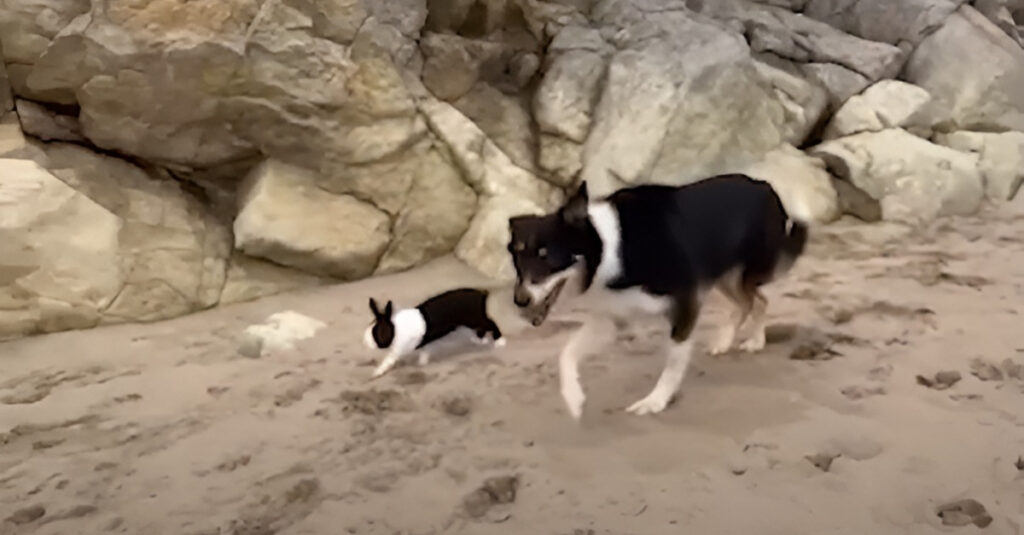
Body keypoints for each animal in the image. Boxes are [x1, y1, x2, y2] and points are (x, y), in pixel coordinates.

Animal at [364, 284, 507, 377]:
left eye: (376, 332)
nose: (365, 341)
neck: (394, 328)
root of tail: (482, 294)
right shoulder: (424, 341)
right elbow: (425, 350)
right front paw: (423, 362)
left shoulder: (398, 350)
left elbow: (388, 359)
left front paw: (376, 373)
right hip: (475, 320)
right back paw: (479, 340)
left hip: (474, 319)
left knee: (491, 323)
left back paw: (500, 341)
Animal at [507, 173, 802, 418]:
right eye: (518, 258)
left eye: (546, 255)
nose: (520, 300)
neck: (611, 248)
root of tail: (764, 185)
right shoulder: (614, 317)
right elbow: (566, 353)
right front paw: (573, 398)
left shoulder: (685, 304)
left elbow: (672, 363)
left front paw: (656, 401)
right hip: (724, 275)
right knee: (752, 301)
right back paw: (728, 341)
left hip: (740, 272)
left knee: (757, 300)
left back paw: (755, 340)